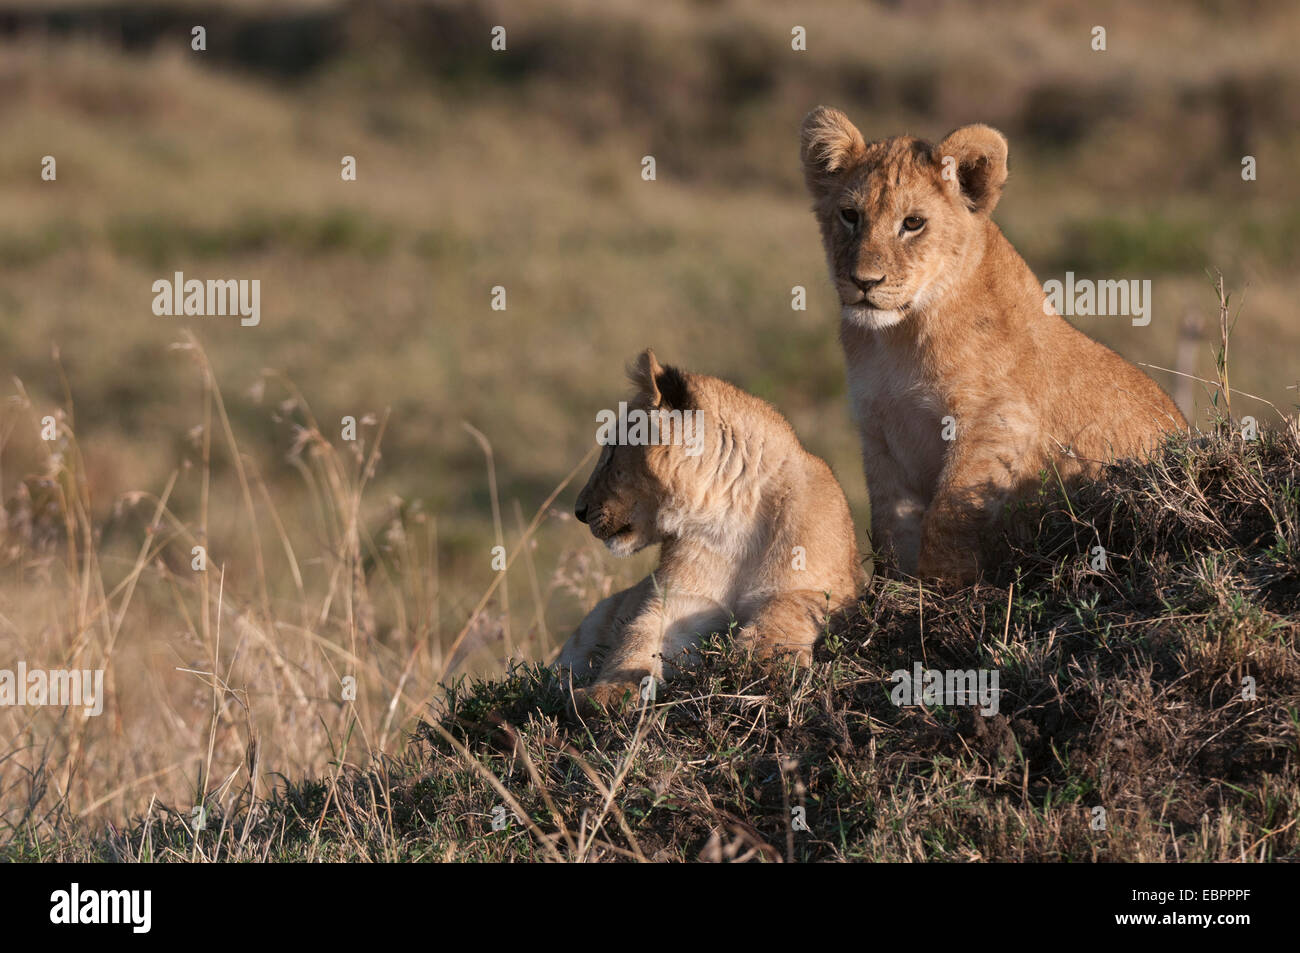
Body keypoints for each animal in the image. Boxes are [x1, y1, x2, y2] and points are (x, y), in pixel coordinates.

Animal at [557, 348, 864, 710]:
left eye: (613, 452)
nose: (579, 511)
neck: (731, 514)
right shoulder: (679, 601)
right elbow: (636, 638)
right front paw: (608, 692)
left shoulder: (831, 590)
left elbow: (784, 608)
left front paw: (763, 660)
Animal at [799, 106, 1187, 584]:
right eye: (850, 215)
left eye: (913, 223)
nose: (863, 282)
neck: (896, 338)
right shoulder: (879, 431)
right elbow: (890, 525)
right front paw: (895, 591)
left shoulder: (996, 420)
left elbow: (948, 515)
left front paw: (938, 591)